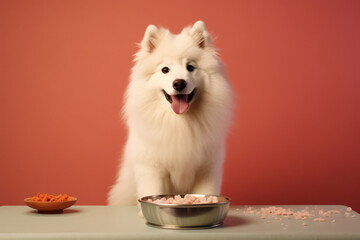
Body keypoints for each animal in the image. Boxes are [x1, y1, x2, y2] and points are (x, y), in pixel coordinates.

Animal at [108, 21, 232, 204]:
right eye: (165, 69)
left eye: (190, 67)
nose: (179, 83)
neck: (179, 123)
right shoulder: (152, 167)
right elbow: (153, 190)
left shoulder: (207, 168)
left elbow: (207, 191)